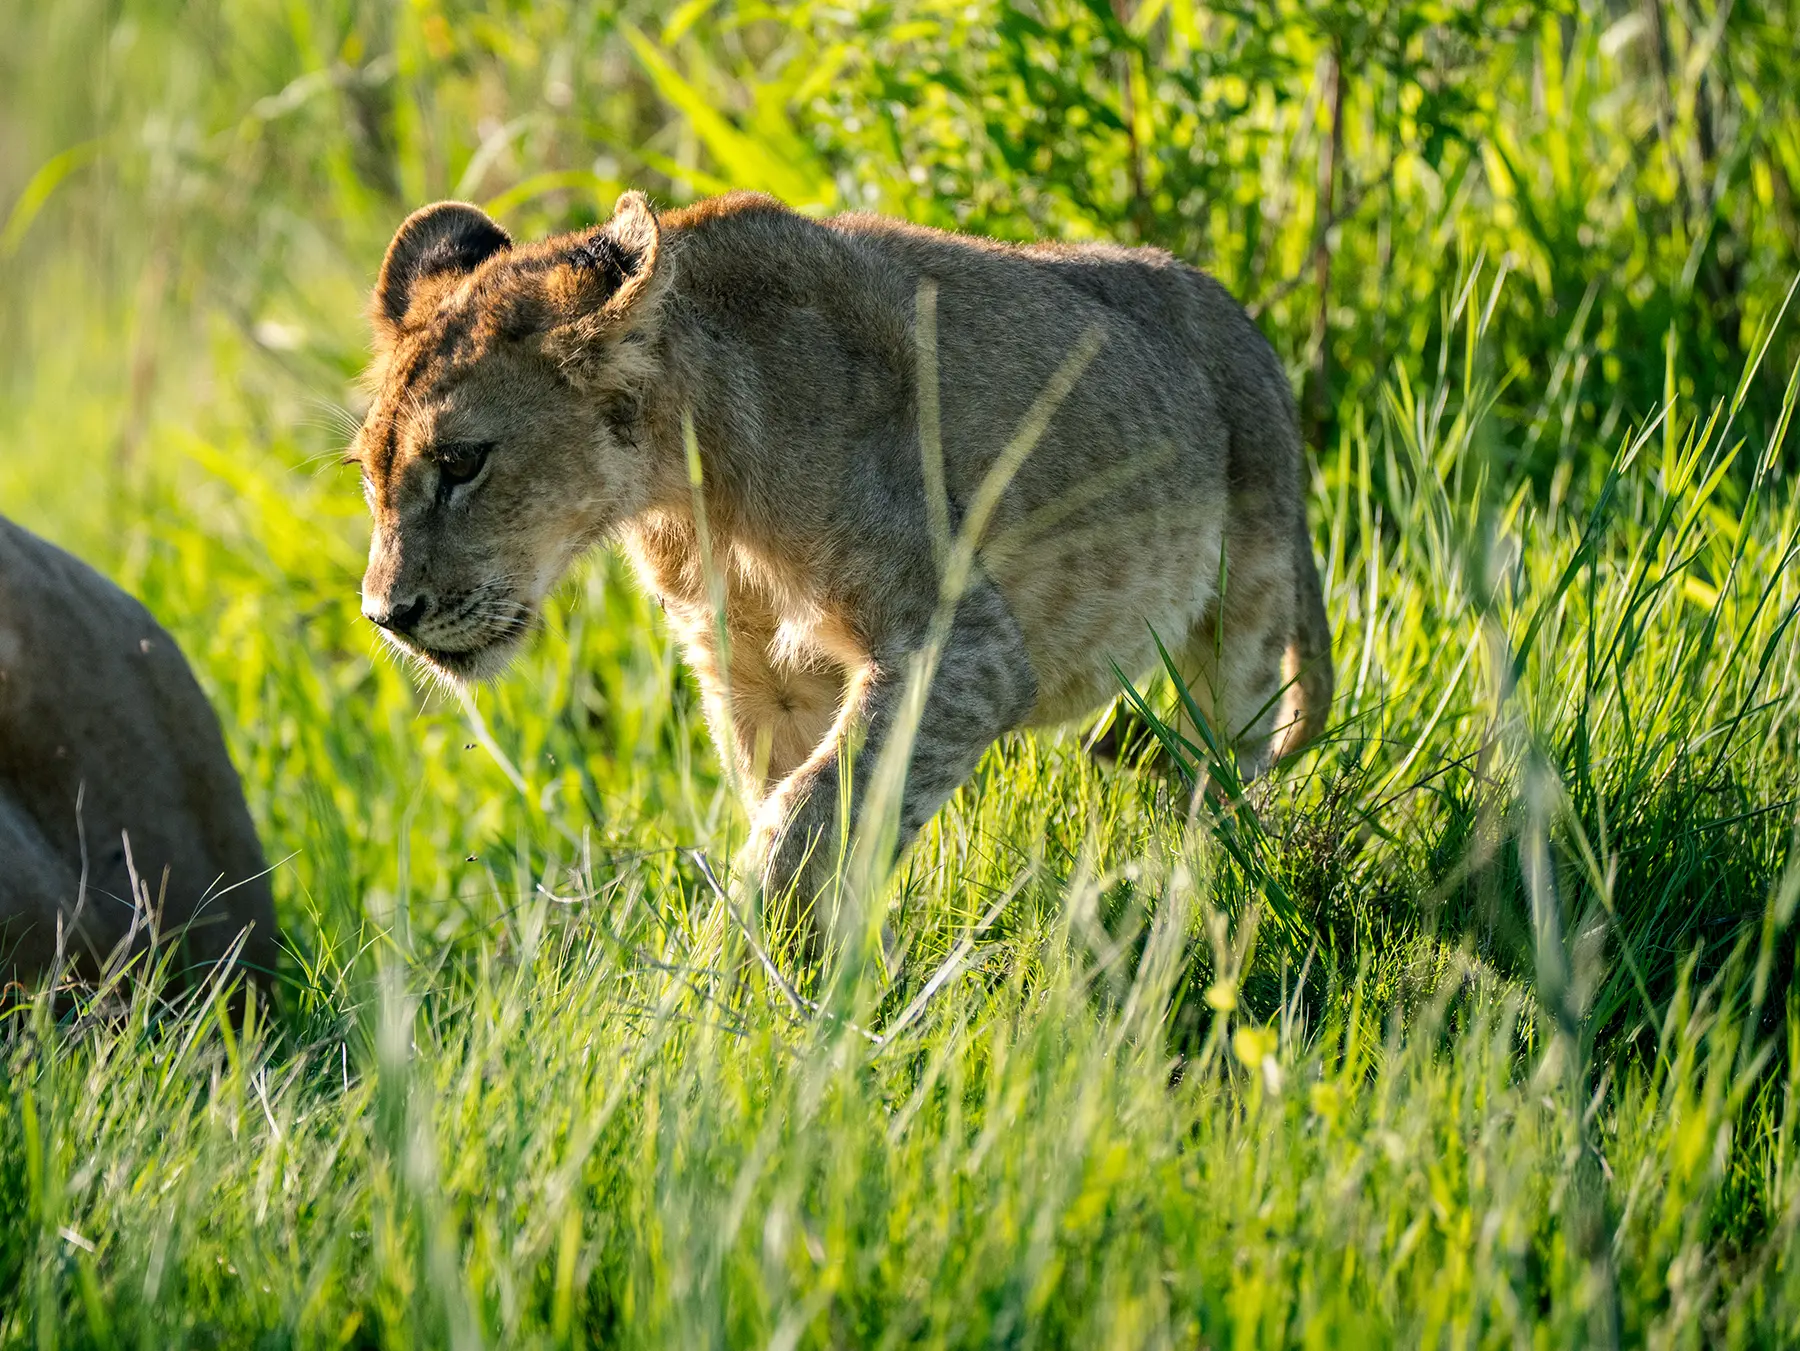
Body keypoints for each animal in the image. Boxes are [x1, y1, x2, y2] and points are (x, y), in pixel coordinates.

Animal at [350, 190, 1332, 935]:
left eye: (462, 461)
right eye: (369, 472)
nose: (386, 615)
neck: (691, 488)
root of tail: (1258, 341)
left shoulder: (960, 645)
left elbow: (813, 810)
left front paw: (743, 966)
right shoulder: (755, 679)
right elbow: (798, 802)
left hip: (1244, 615)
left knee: (1225, 762)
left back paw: (1199, 870)